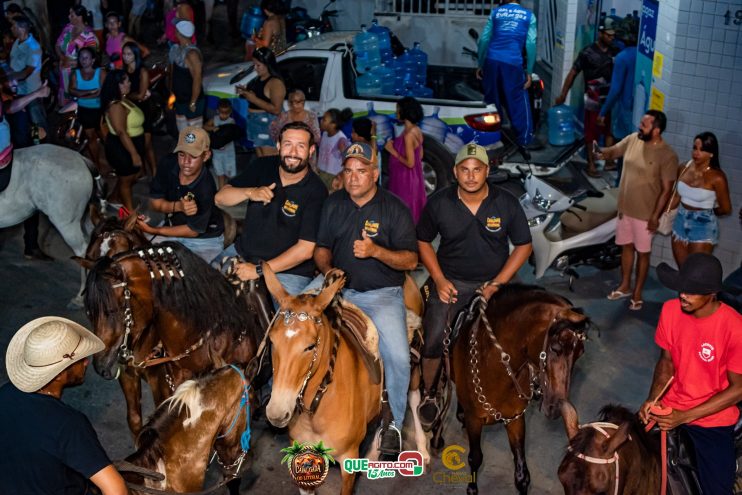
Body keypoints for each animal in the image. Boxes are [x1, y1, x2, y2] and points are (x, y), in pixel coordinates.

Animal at [448, 284, 592, 494]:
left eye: (580, 353)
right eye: (555, 348)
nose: (555, 407)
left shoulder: (515, 419)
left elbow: (522, 475)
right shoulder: (474, 419)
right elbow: (475, 458)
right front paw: (472, 488)